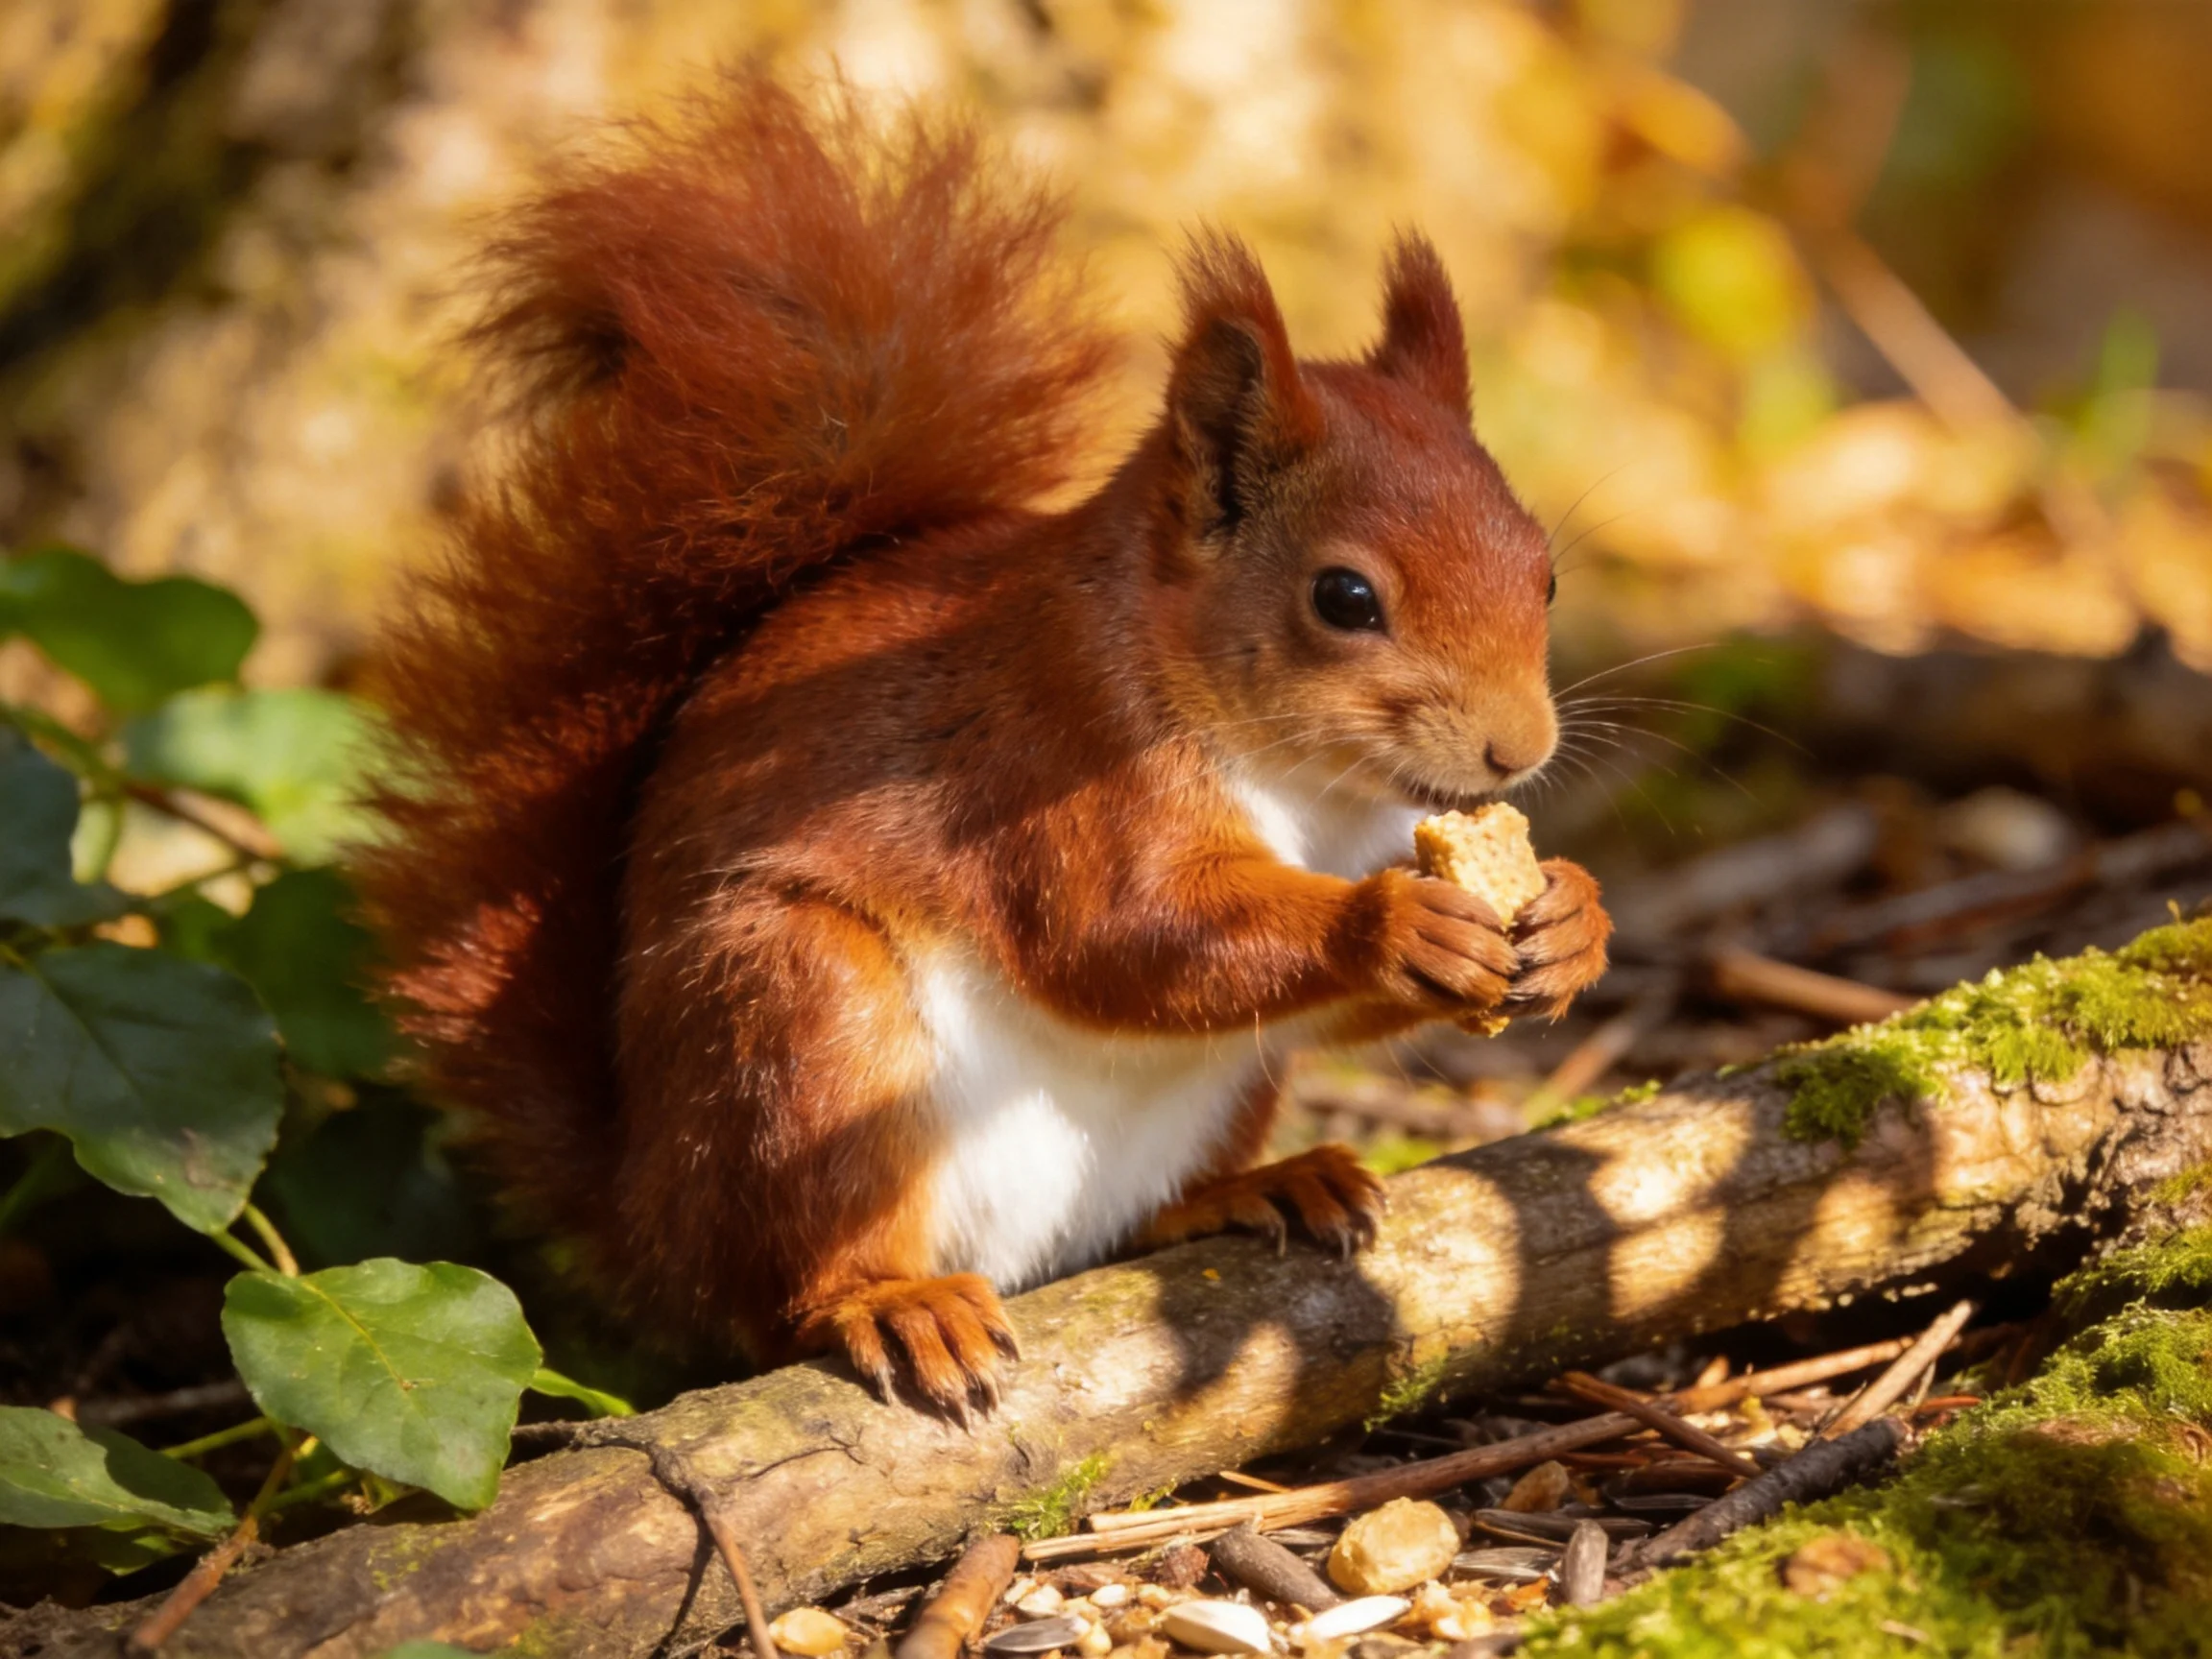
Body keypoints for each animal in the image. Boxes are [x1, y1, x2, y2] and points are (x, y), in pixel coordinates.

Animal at [358, 69, 1612, 1415]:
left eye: (1544, 574)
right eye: (1344, 599)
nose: (1516, 752)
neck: (1306, 785)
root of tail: (649, 1218)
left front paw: (1572, 918)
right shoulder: (1049, 754)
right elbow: (1120, 932)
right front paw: (1392, 924)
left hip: (1220, 1089)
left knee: (1141, 1214)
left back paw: (1252, 1186)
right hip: (802, 1030)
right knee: (787, 1287)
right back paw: (890, 1300)